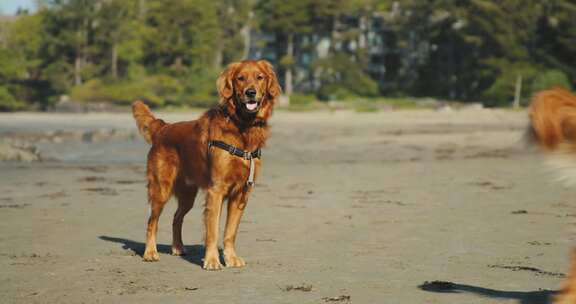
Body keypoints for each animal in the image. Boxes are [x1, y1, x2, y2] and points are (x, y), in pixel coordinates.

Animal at [131, 60, 284, 270]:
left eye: (259, 77)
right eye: (240, 78)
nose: (250, 92)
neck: (242, 126)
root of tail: (163, 127)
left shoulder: (241, 192)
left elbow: (230, 232)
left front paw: (231, 258)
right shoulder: (216, 190)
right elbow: (213, 230)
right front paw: (212, 260)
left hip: (188, 194)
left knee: (177, 217)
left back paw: (178, 247)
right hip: (161, 189)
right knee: (151, 221)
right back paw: (150, 252)